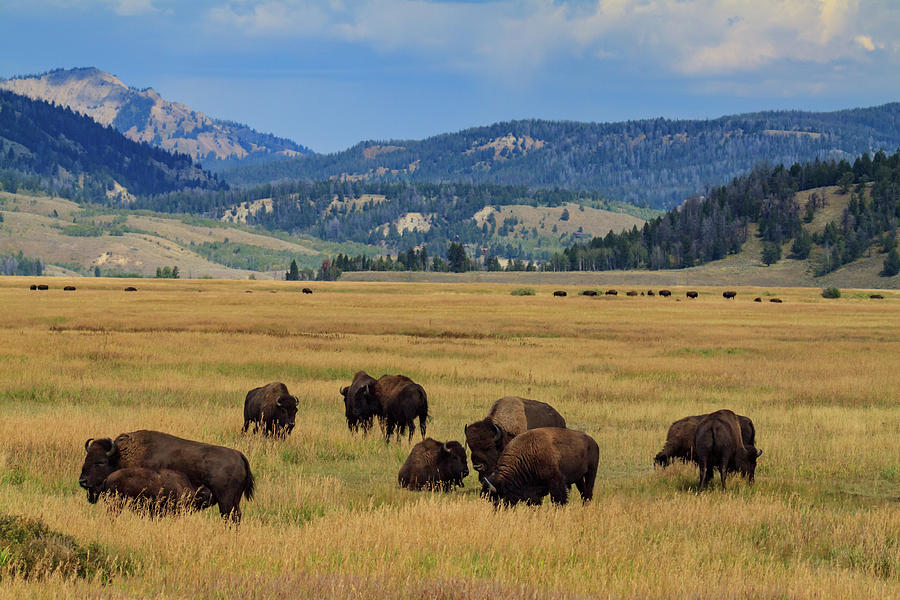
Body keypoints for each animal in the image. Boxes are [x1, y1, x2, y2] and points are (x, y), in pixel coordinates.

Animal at [79, 428, 253, 524]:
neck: (120, 456)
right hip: (234, 501)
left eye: (100, 462)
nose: (83, 481)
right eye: (87, 458)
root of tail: (238, 455)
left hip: (226, 502)